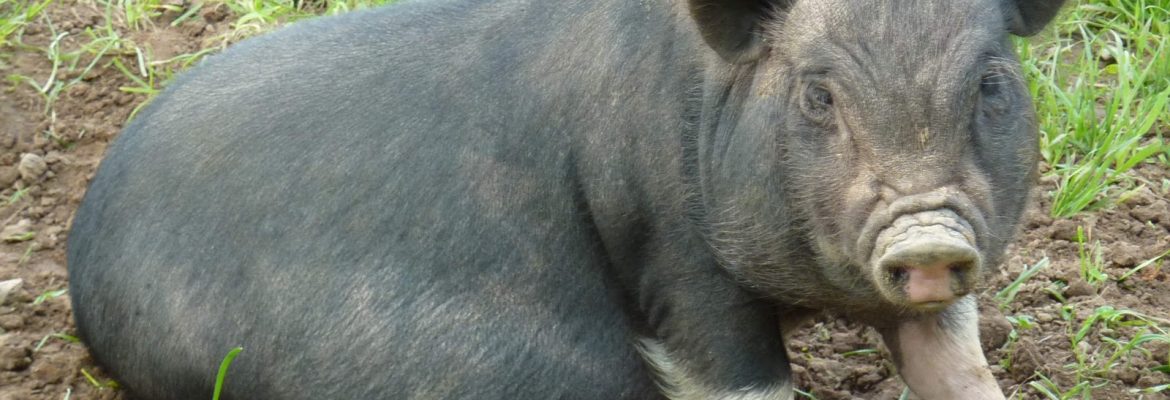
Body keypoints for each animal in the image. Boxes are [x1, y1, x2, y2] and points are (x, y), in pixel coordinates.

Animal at [67, 0, 1064, 398]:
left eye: (990, 84)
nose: (925, 233)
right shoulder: (673, 248)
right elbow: (737, 373)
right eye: (819, 94)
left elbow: (956, 363)